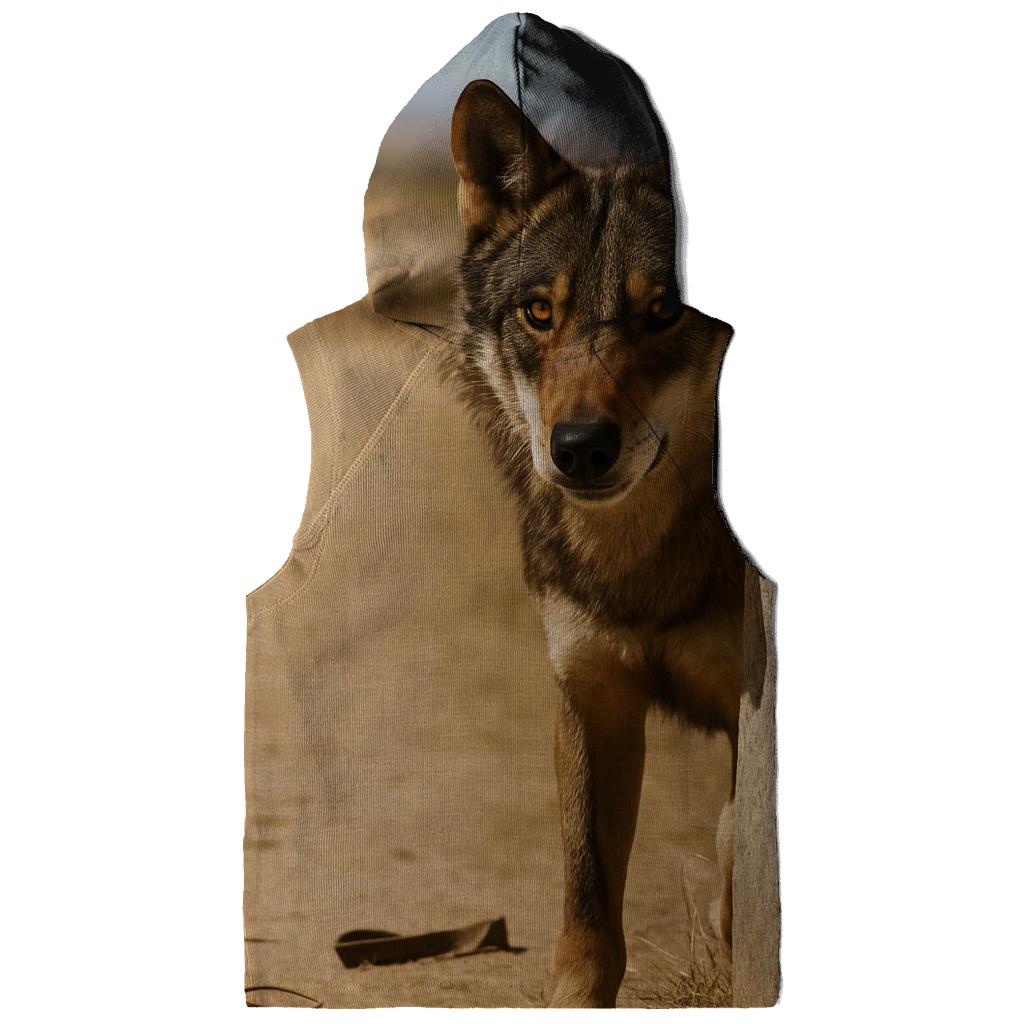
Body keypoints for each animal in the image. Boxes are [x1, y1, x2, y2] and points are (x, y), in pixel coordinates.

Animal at [448, 79, 746, 1008]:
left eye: (665, 312)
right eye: (540, 312)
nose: (579, 448)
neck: (641, 566)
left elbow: (740, 853)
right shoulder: (591, 696)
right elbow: (586, 917)